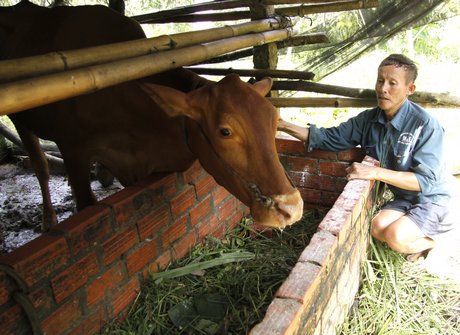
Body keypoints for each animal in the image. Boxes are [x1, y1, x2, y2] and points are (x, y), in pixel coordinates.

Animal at [1, 1, 304, 231]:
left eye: (274, 122)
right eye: (225, 131)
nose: (292, 208)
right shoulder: (73, 150)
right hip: (20, 117)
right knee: (40, 165)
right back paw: (49, 220)